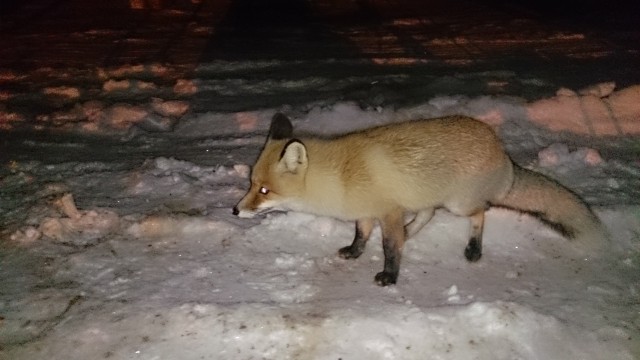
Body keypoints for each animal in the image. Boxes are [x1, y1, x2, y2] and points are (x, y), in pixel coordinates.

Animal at [232, 114, 608, 286]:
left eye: (264, 191)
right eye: (251, 184)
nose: (235, 210)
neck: (339, 178)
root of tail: (502, 151)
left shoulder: (387, 211)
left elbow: (389, 248)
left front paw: (389, 276)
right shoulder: (367, 213)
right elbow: (361, 236)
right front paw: (354, 253)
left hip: (460, 204)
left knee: (481, 213)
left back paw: (473, 249)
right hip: (427, 197)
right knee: (428, 213)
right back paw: (412, 232)